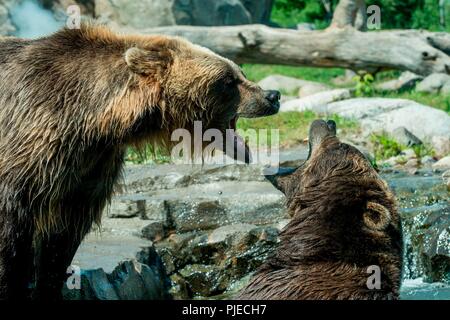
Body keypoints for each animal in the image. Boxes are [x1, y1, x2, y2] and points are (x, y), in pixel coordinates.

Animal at [0, 23, 282, 300]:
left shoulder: (89, 166)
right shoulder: (33, 142)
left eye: (240, 72)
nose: (273, 95)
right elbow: (12, 223)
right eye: (228, 80)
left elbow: (62, 237)